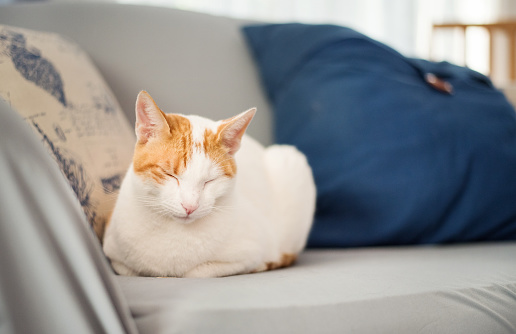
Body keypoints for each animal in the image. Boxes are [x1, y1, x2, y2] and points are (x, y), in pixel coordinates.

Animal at [103, 90, 316, 276]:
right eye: (170, 174)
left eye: (210, 180)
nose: (189, 207)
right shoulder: (114, 255)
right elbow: (128, 269)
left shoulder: (249, 252)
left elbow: (195, 273)